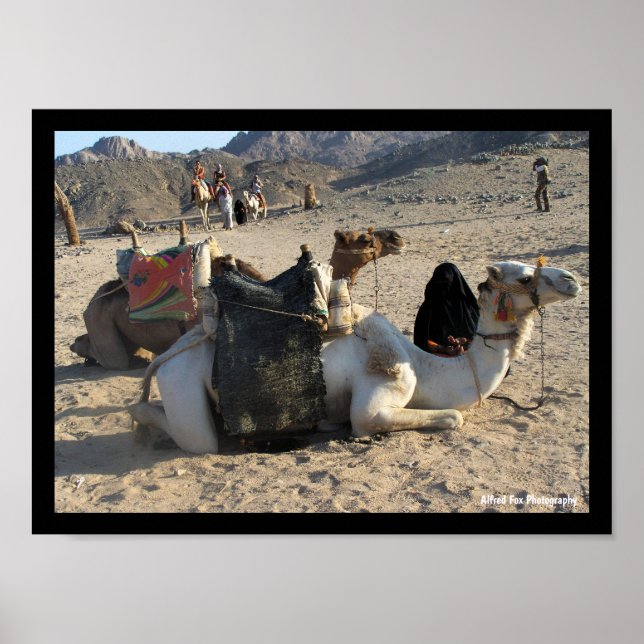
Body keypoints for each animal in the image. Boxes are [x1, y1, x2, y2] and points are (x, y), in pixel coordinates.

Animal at [129, 259, 581, 454]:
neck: (424, 365)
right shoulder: (379, 395)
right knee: (195, 438)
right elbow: (453, 416)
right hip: (182, 382)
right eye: (525, 276)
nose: (572, 278)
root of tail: (171, 353)